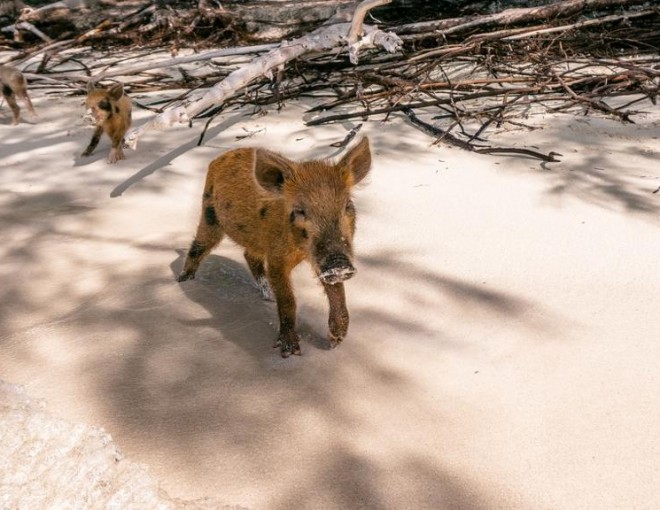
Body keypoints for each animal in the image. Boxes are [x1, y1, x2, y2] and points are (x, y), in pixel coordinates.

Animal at [178, 137, 372, 356]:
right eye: (299, 210)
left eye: (347, 205)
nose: (339, 264)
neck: (300, 252)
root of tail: (220, 157)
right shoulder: (276, 259)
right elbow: (288, 300)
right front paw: (290, 352)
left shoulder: (319, 261)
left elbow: (337, 291)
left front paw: (335, 342)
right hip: (209, 214)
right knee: (198, 247)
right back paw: (183, 281)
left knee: (249, 256)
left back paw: (268, 297)